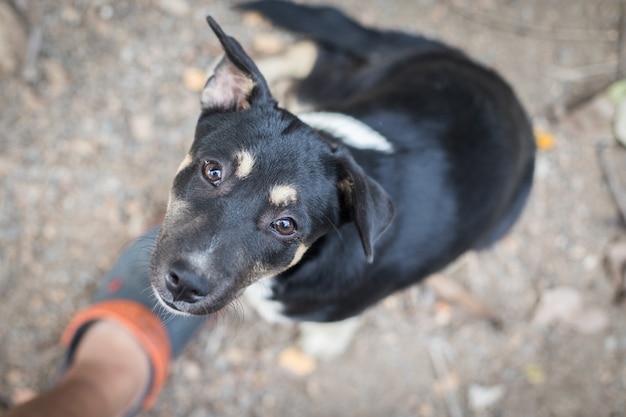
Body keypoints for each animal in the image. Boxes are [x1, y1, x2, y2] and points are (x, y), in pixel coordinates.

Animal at [149, 0, 532, 348]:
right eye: (212, 171)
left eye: (286, 225)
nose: (186, 283)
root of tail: (492, 78)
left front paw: (325, 341)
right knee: (314, 54)